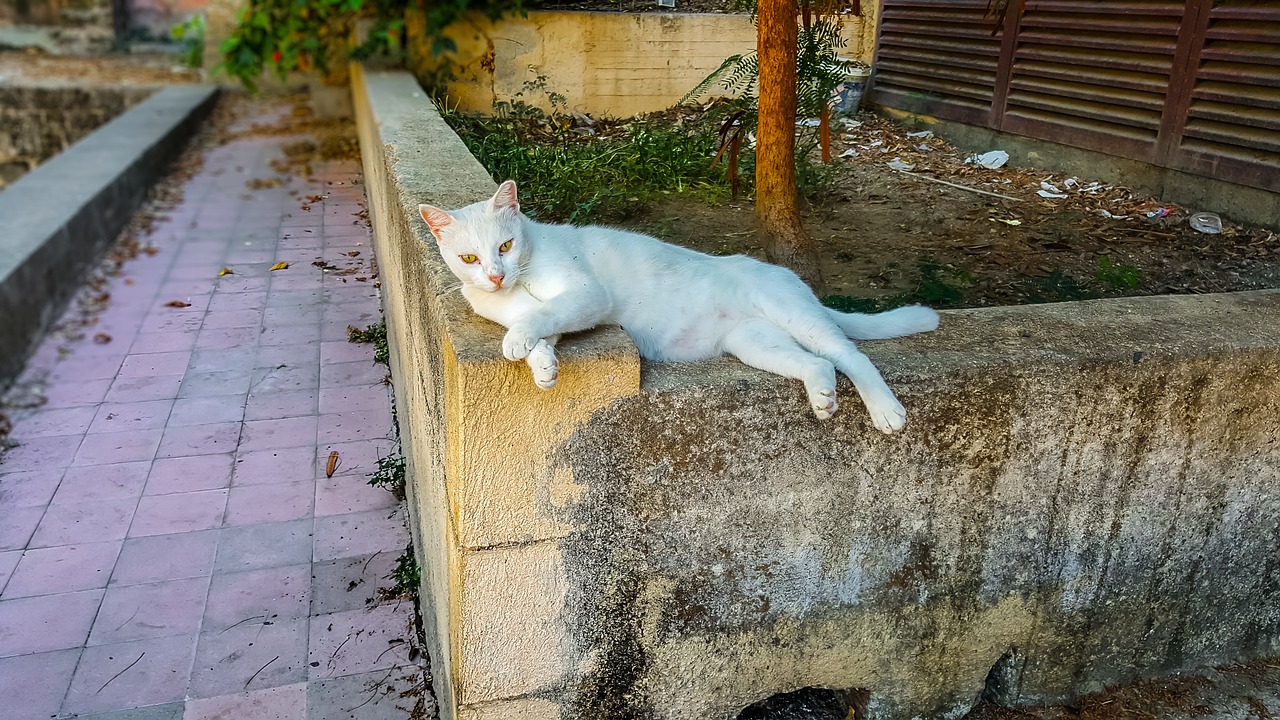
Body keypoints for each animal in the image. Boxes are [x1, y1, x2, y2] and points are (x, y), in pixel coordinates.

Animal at [419, 179, 942, 430]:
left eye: (505, 246)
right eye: (469, 258)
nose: (495, 274)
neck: (518, 281)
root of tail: (787, 277)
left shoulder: (586, 296)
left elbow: (542, 313)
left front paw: (522, 343)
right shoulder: (544, 309)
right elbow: (538, 325)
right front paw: (542, 364)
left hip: (796, 317)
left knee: (850, 355)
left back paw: (886, 411)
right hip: (755, 343)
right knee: (817, 364)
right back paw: (824, 398)